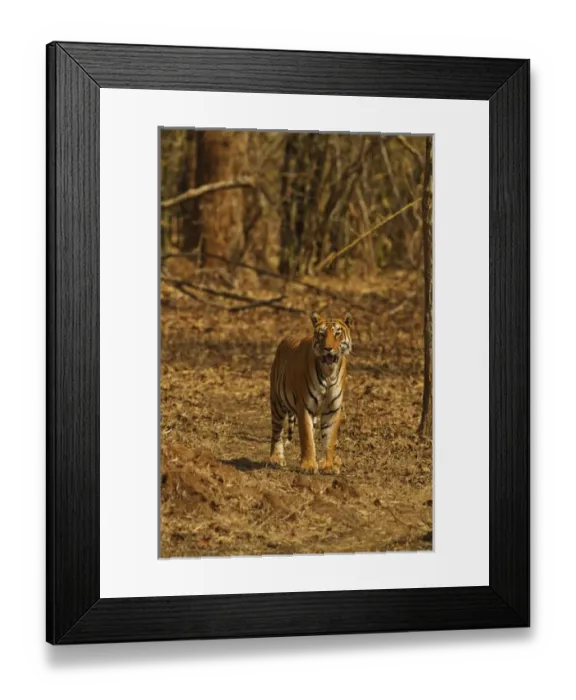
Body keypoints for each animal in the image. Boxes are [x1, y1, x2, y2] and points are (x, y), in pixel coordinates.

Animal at [268, 311, 353, 475]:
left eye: (337, 333)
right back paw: (276, 459)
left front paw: (328, 466)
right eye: (322, 334)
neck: (329, 373)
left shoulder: (332, 409)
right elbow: (307, 437)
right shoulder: (304, 407)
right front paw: (308, 466)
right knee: (276, 432)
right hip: (277, 404)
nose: (328, 348)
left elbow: (329, 439)